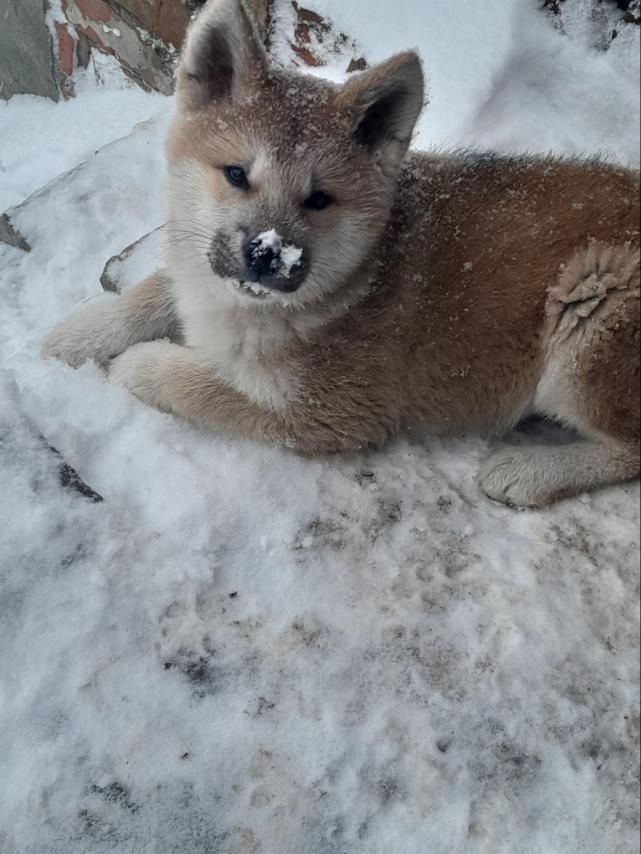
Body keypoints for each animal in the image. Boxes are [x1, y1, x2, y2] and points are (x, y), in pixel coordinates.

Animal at [42, 0, 636, 508]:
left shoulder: (332, 412)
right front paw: (82, 334)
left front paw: (144, 364)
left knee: (631, 450)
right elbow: (156, 288)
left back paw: (530, 471)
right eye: (235, 174)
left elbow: (205, 387)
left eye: (319, 199)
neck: (348, 282)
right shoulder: (204, 266)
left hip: (594, 309)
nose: (267, 255)